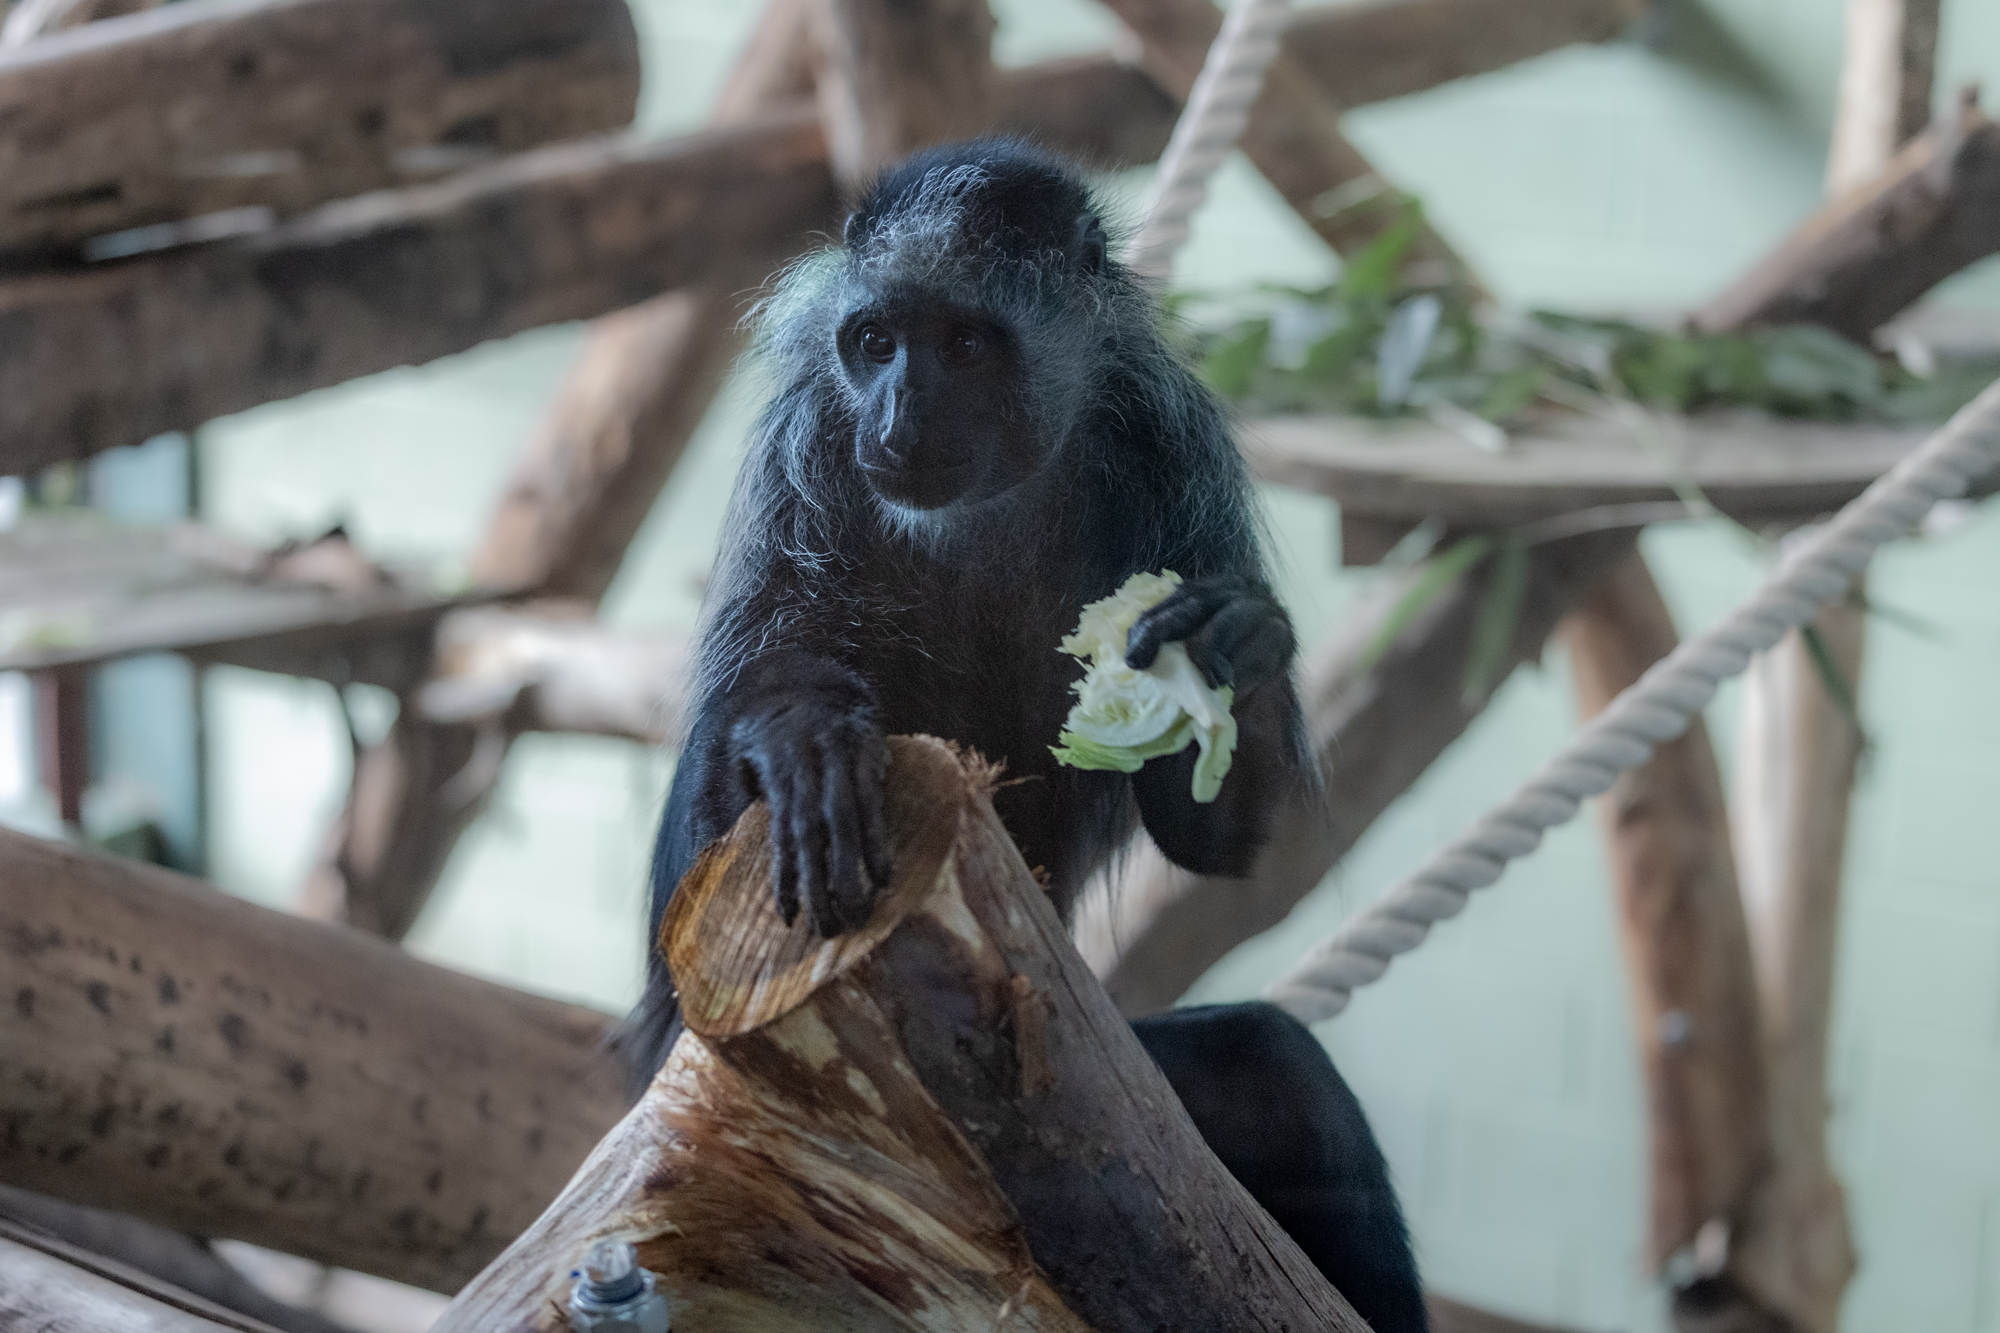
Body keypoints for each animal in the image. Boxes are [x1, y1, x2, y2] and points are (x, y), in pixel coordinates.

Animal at [637, 139, 1425, 1333]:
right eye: (876, 343)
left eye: (964, 345)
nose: (899, 420)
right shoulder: (804, 455)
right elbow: (713, 847)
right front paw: (800, 735)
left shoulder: (1179, 455)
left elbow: (1213, 838)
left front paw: (1230, 653)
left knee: (1273, 1071)